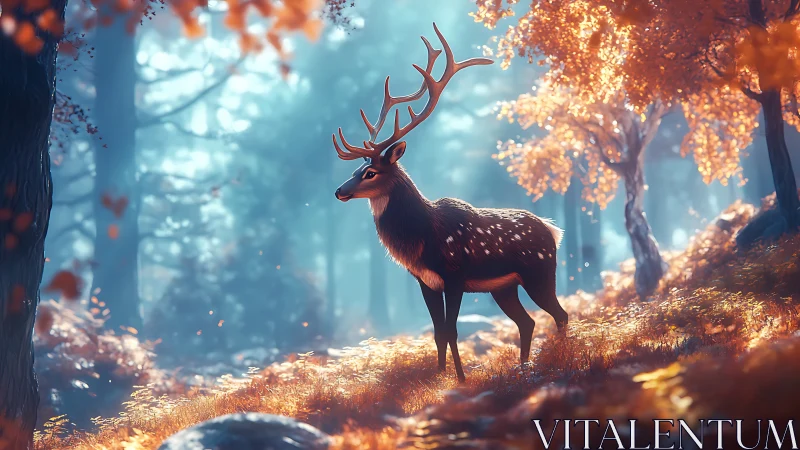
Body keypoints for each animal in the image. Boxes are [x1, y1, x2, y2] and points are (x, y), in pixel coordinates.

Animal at [332, 23, 568, 383]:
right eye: (355, 170)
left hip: (540, 271)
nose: (339, 191)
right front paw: (440, 377)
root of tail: (553, 231)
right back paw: (523, 367)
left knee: (560, 314)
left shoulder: (455, 276)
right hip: (504, 287)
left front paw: (460, 379)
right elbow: (437, 332)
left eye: (371, 172)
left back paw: (561, 358)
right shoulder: (425, 282)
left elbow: (453, 330)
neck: (422, 238)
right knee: (527, 321)